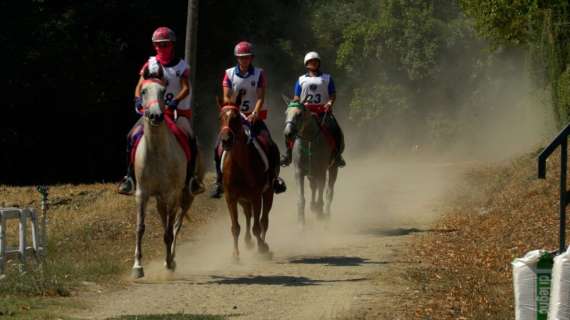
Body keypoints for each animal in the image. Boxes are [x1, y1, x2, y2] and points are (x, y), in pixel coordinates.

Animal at [130, 74, 197, 278]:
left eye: (163, 91)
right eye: (144, 91)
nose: (156, 115)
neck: (157, 152)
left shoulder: (173, 195)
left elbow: (169, 232)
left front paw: (168, 263)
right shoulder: (142, 194)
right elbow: (140, 228)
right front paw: (137, 267)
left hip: (185, 197)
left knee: (175, 226)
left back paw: (172, 259)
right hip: (160, 199)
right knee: (165, 222)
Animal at [216, 103, 276, 260]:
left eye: (235, 118)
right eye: (220, 117)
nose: (226, 140)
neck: (239, 166)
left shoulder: (256, 196)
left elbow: (257, 226)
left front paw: (262, 248)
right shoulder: (231, 198)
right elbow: (235, 227)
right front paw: (235, 255)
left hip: (268, 193)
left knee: (263, 220)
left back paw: (263, 245)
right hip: (243, 200)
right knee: (249, 215)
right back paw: (248, 241)